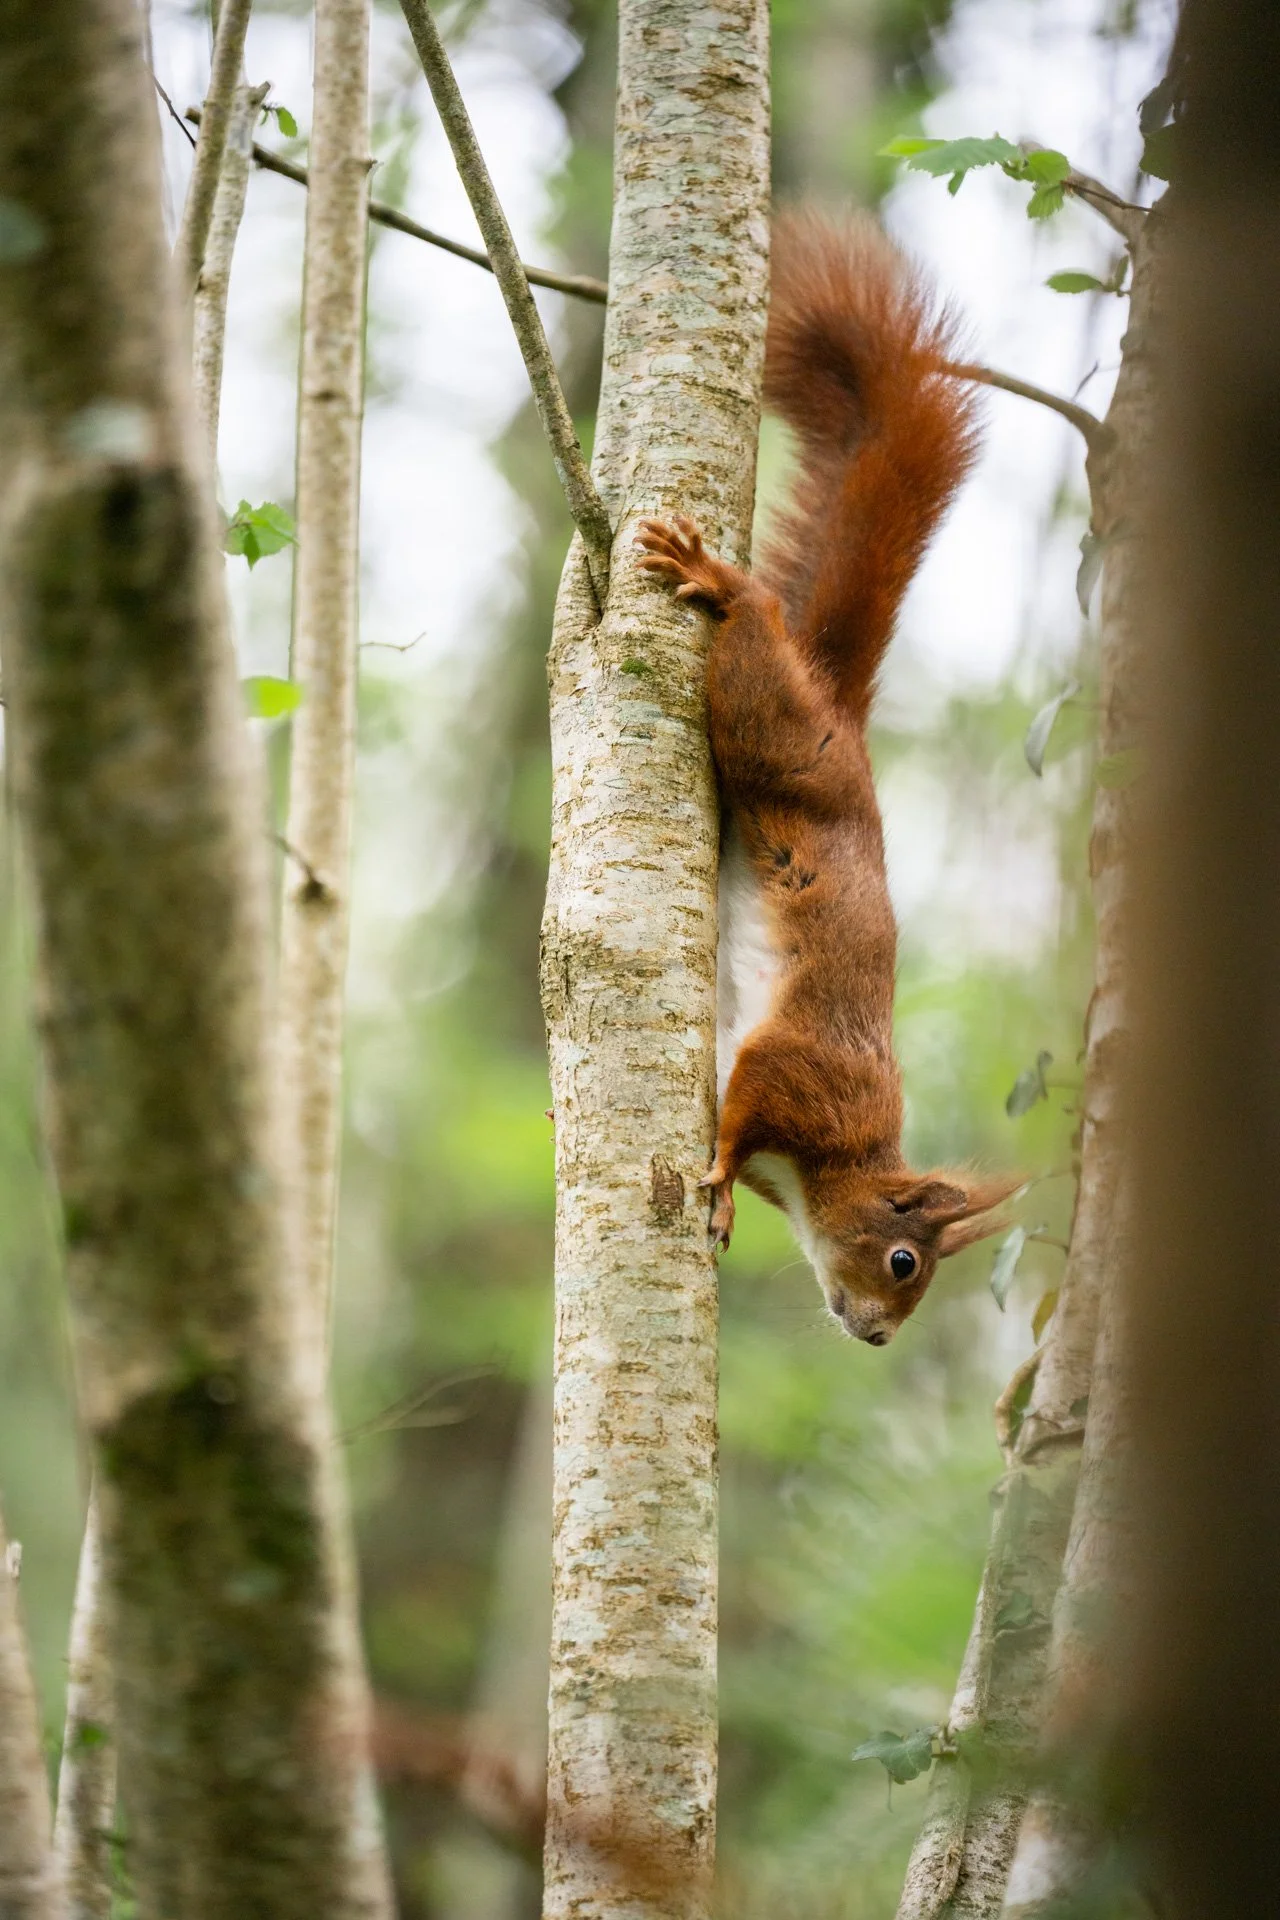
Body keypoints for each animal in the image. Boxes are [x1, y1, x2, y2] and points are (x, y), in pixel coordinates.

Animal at [635, 210, 1018, 1347]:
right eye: (903, 1260)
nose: (879, 1335)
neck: (834, 1166)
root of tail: (839, 717)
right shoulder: (801, 1076)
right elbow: (741, 1110)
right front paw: (717, 1178)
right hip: (775, 735)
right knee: (754, 645)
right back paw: (723, 584)